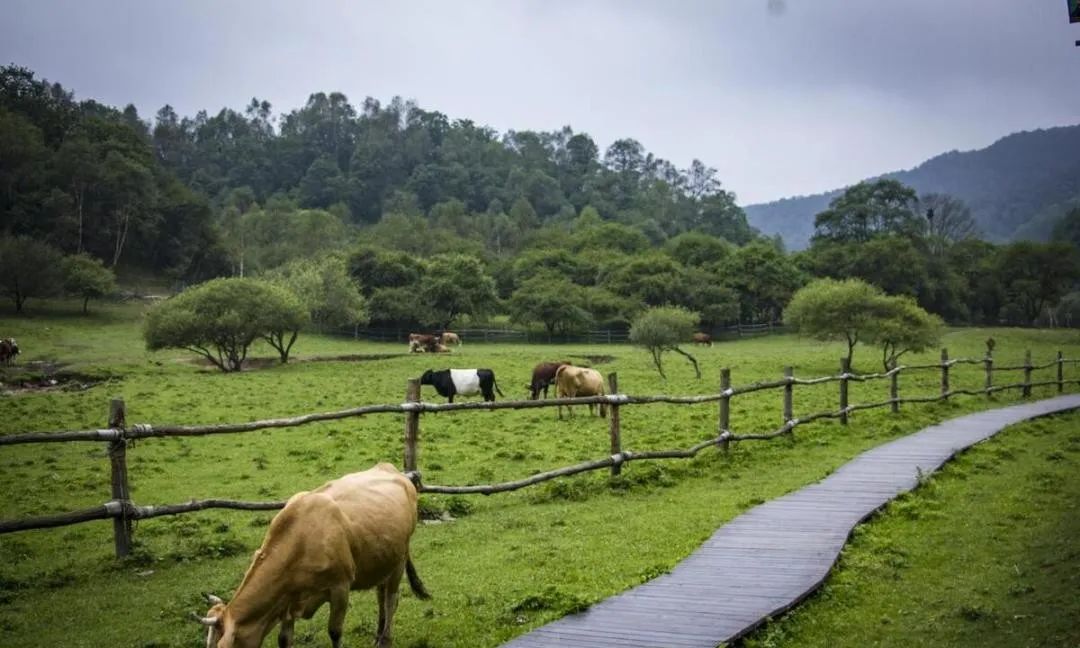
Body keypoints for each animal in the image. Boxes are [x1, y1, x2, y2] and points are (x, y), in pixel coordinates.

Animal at [196, 462, 427, 648]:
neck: (300, 539)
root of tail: (394, 470)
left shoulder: (340, 587)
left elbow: (335, 632)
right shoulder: (288, 599)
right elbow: (284, 639)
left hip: (399, 559)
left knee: (390, 599)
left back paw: (385, 639)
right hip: (383, 559)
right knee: (381, 595)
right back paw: (378, 634)